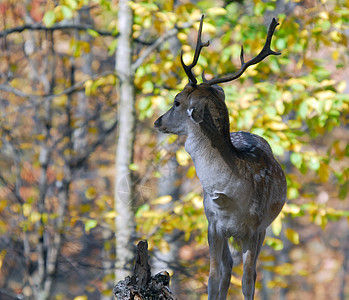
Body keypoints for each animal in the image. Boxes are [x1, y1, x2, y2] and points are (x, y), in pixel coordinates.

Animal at [154, 17, 286, 300]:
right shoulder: (213, 224)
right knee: (226, 269)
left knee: (244, 271)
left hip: (263, 229)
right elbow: (213, 277)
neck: (230, 194)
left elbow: (248, 280)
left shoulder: (255, 228)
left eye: (177, 101)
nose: (157, 121)